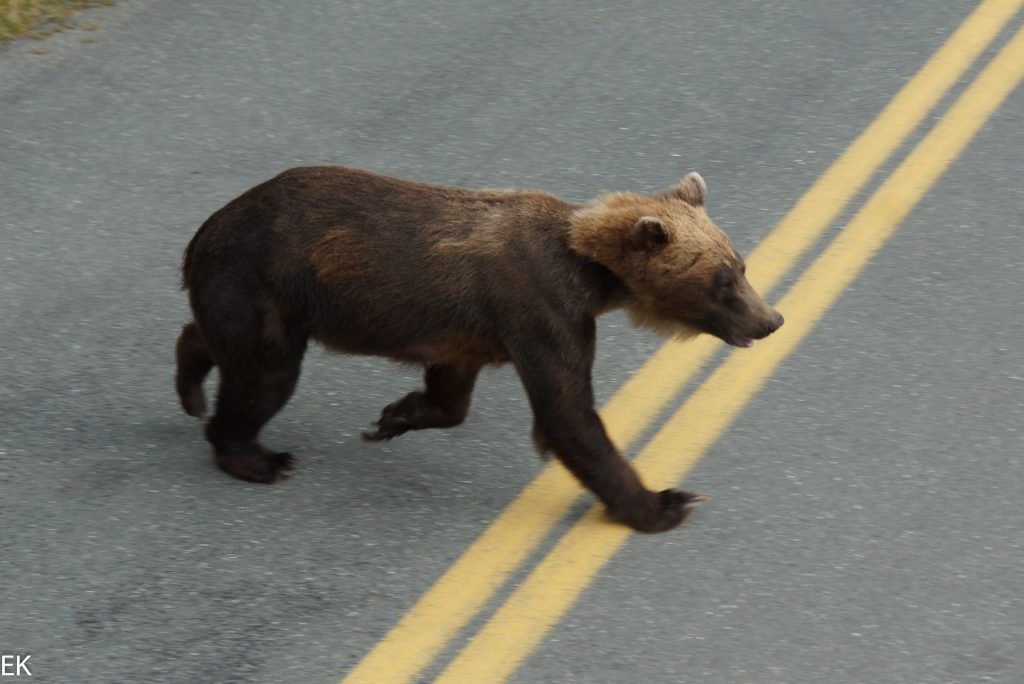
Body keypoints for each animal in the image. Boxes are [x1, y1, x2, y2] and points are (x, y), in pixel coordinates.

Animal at [176, 165, 782, 532]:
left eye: (740, 266)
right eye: (723, 279)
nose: (772, 319)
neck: (592, 276)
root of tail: (204, 230)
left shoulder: (470, 329)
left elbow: (452, 394)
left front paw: (394, 416)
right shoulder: (541, 310)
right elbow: (568, 414)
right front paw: (665, 503)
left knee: (221, 344)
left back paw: (191, 383)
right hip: (261, 280)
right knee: (265, 373)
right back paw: (259, 457)